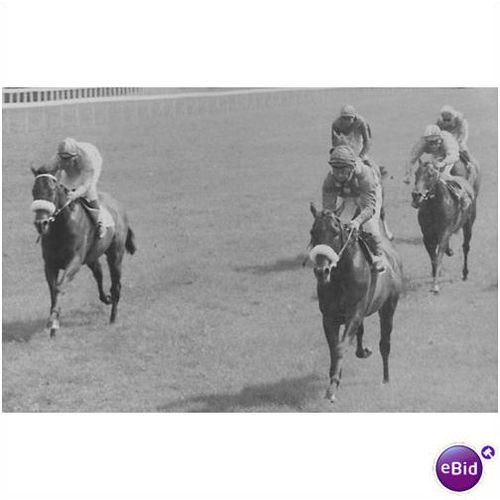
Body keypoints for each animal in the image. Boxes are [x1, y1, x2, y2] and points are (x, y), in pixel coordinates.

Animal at [31, 166, 137, 338]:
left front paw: (53, 322)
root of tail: (118, 206)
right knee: (99, 274)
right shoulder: (50, 264)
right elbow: (53, 290)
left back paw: (113, 317)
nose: (41, 223)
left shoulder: (74, 262)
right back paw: (106, 298)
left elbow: (59, 287)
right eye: (34, 191)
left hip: (115, 255)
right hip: (92, 257)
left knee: (115, 285)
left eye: (52, 191)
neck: (61, 227)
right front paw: (53, 322)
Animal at [308, 203, 402, 402]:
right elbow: (334, 348)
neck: (340, 277)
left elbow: (340, 346)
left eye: (335, 232)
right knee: (361, 333)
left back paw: (386, 378)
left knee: (385, 343)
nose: (321, 271)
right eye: (313, 232)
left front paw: (332, 389)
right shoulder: (329, 317)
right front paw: (334, 380)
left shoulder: (354, 312)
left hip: (388, 306)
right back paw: (363, 351)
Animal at [410, 158, 480, 292]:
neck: (434, 207)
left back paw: (465, 273)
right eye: (416, 173)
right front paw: (434, 275)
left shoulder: (444, 231)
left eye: (431, 175)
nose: (416, 195)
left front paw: (435, 286)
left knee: (465, 247)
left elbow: (438, 256)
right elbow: (433, 258)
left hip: (468, 225)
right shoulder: (427, 235)